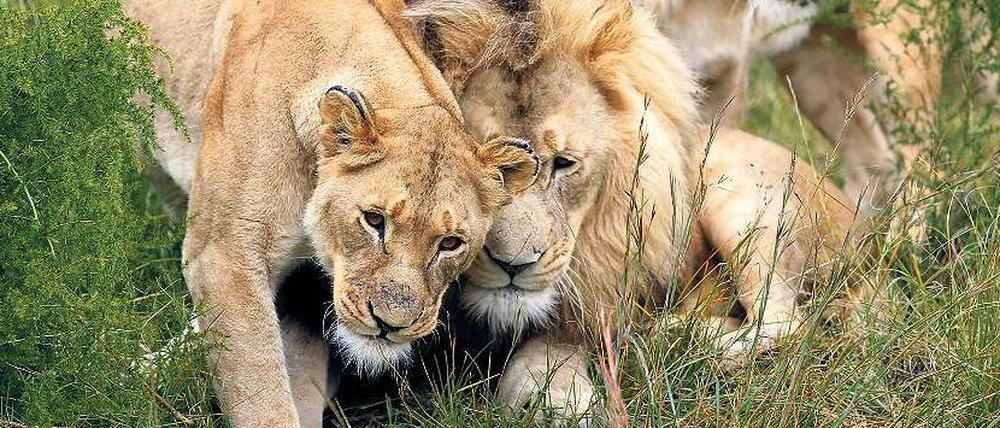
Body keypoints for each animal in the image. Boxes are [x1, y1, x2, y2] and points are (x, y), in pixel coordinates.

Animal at [407, 0, 867, 418]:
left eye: (564, 163)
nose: (513, 265)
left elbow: (550, 350)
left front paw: (557, 397)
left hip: (738, 202)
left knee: (786, 324)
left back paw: (674, 339)